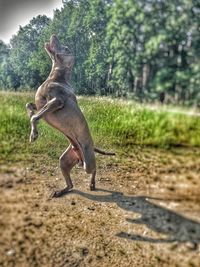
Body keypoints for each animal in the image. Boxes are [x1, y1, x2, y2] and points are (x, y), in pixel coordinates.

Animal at [25, 34, 115, 198]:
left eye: (65, 48)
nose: (53, 35)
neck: (56, 77)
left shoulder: (57, 101)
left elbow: (35, 117)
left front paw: (33, 134)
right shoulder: (41, 105)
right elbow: (29, 106)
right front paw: (30, 117)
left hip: (87, 162)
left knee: (94, 168)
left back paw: (92, 184)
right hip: (65, 160)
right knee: (71, 184)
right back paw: (61, 191)